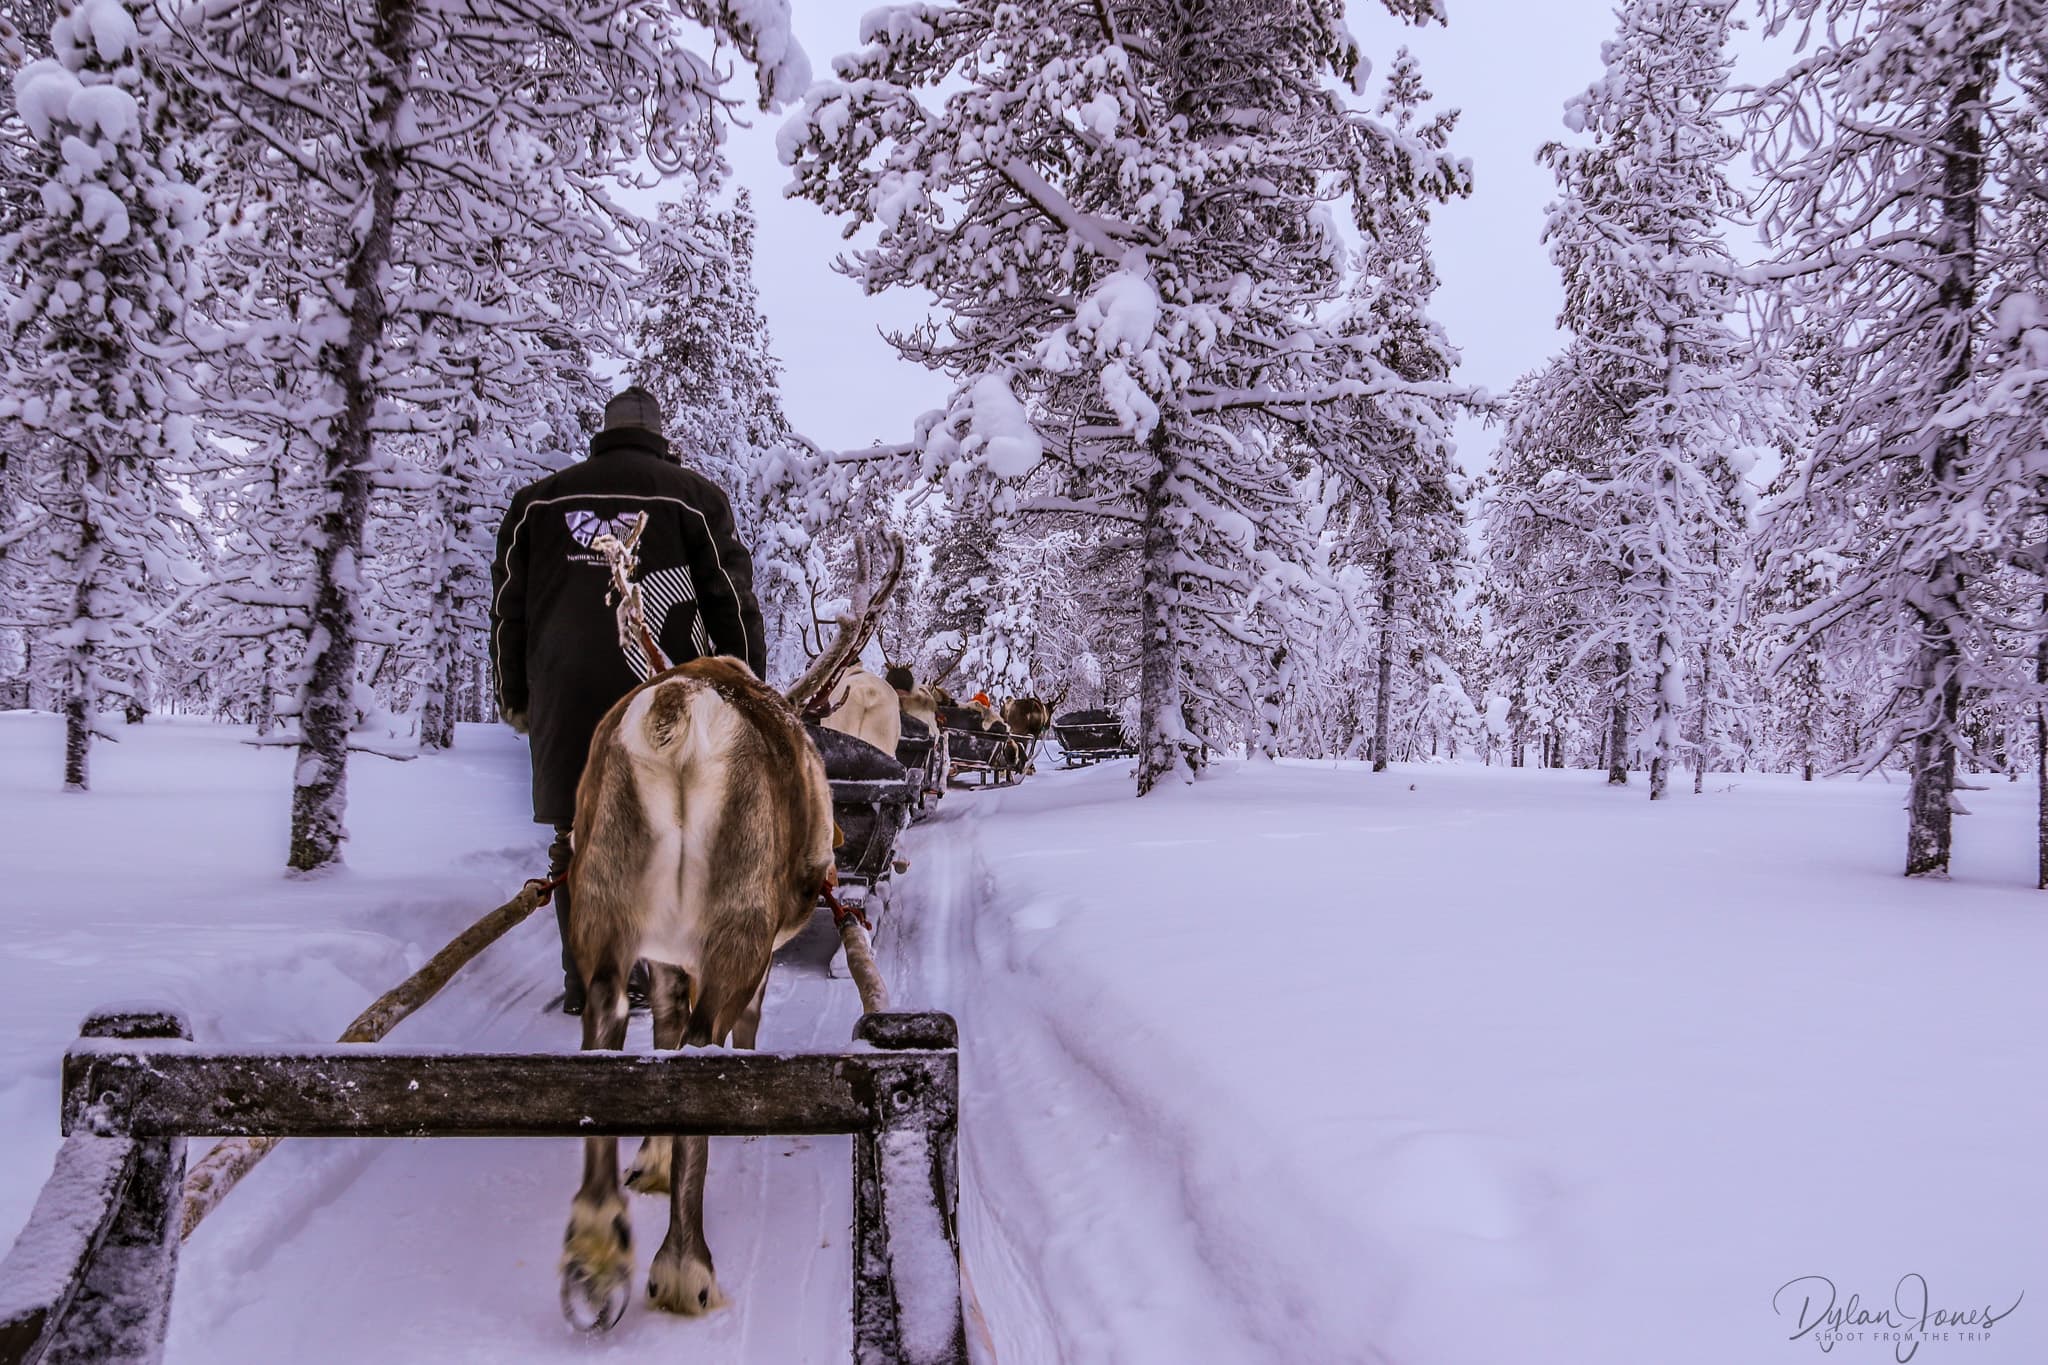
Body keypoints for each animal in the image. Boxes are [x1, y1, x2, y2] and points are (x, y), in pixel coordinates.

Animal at [558, 533, 904, 1333]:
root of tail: (676, 711)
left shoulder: (664, 954)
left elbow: (661, 1036)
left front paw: (650, 1160)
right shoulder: (752, 947)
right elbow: (738, 1030)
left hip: (601, 898)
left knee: (607, 1024)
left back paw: (596, 1254)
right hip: (738, 920)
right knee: (704, 1049)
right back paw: (686, 1268)